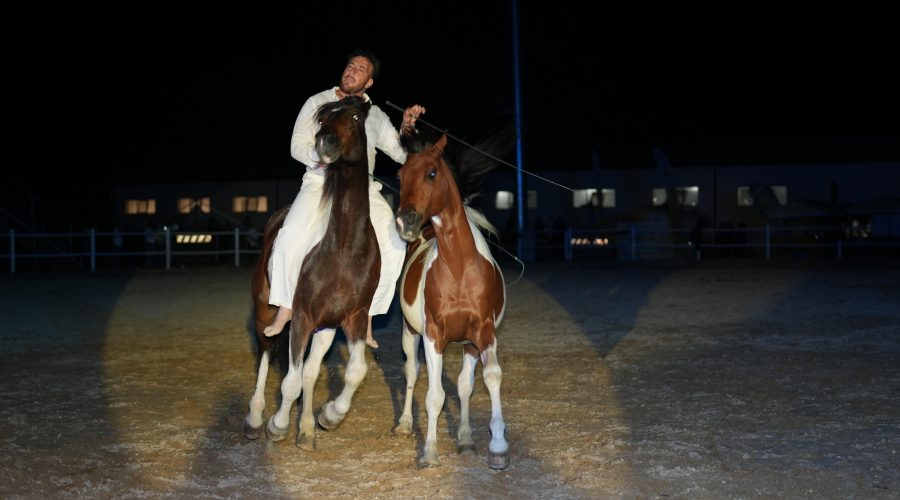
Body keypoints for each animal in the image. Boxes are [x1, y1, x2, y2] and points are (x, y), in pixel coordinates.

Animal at [243, 95, 381, 450]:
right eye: (322, 119)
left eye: (356, 116)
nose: (325, 142)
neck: (343, 247)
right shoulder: (302, 315)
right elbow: (289, 382)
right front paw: (277, 425)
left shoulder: (352, 318)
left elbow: (354, 372)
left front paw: (328, 416)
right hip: (267, 312)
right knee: (266, 352)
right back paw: (255, 418)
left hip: (325, 328)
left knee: (307, 371)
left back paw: (304, 429)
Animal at [393, 132, 510, 469]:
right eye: (400, 175)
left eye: (432, 173)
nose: (405, 221)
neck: (459, 267)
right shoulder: (433, 335)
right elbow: (434, 396)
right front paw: (429, 453)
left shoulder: (482, 333)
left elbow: (486, 379)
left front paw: (496, 447)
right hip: (410, 331)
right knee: (411, 372)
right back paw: (404, 424)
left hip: (468, 344)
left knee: (463, 385)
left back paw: (466, 438)